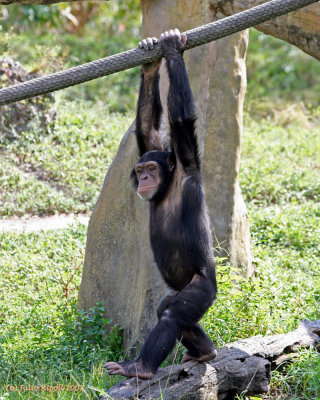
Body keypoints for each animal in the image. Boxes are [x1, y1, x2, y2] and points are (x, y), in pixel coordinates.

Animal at [105, 29, 218, 380]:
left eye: (151, 170)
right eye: (140, 168)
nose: (143, 178)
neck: (168, 186)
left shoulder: (186, 162)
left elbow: (181, 120)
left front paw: (171, 50)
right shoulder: (153, 144)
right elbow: (146, 128)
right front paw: (151, 63)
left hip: (201, 289)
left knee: (172, 317)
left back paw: (140, 368)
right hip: (179, 289)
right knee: (165, 311)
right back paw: (204, 351)